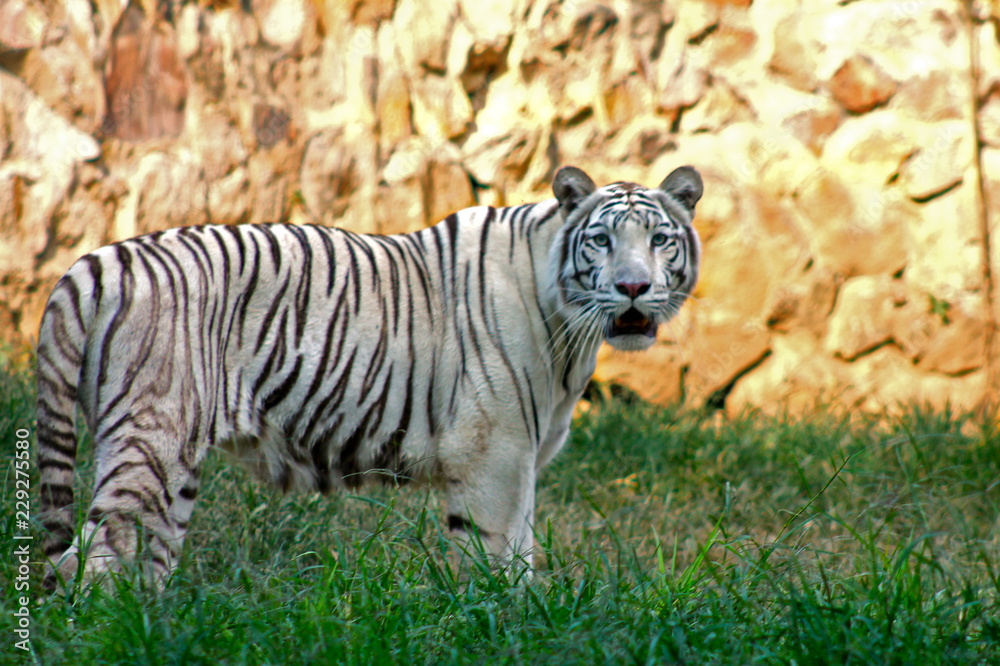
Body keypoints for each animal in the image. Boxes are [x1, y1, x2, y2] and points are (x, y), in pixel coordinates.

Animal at [35, 164, 703, 589]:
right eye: (601, 240)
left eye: (660, 239)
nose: (634, 287)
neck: (569, 328)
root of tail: (95, 261)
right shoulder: (493, 457)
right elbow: (496, 561)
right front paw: (494, 626)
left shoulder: (522, 464)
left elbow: (522, 552)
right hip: (151, 440)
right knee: (88, 560)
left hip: (172, 469)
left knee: (142, 560)